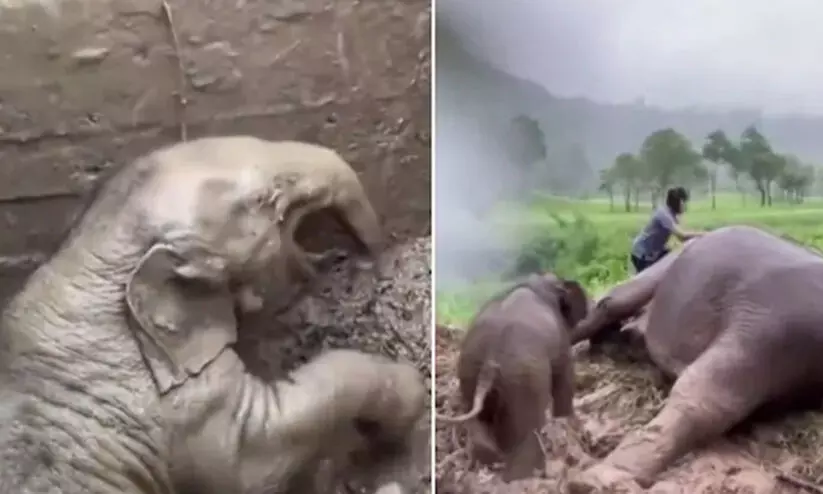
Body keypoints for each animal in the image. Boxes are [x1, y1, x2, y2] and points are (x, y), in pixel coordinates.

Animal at [0, 138, 425, 494]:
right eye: (264, 198)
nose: (369, 257)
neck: (87, 254)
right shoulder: (180, 406)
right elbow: (257, 458)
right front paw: (406, 399)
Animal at [436, 273, 589, 481]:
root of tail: (491, 359)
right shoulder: (562, 343)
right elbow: (564, 377)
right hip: (524, 379)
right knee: (527, 431)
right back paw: (525, 475)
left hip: (468, 372)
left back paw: (493, 461)